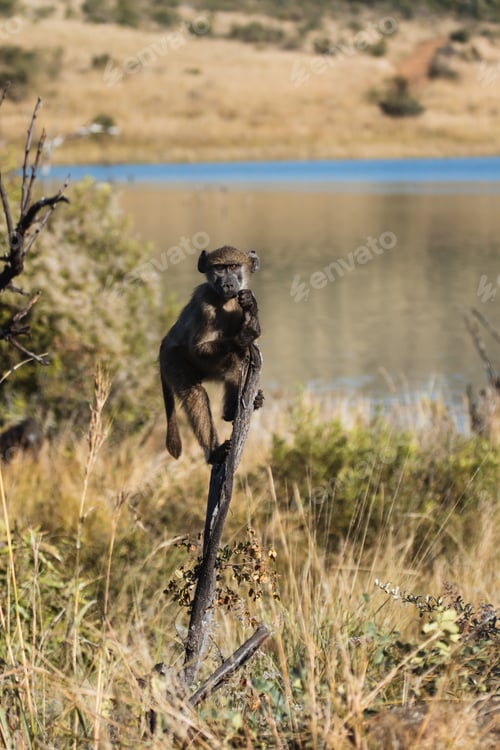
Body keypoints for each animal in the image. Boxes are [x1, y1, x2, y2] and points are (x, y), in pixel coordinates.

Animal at [159, 245, 263, 464]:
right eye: (220, 268)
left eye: (233, 266)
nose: (228, 284)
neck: (227, 301)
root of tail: (163, 344)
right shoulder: (204, 305)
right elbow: (198, 348)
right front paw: (245, 334)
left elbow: (250, 346)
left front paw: (251, 306)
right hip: (172, 360)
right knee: (195, 393)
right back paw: (216, 453)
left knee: (239, 360)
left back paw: (233, 410)